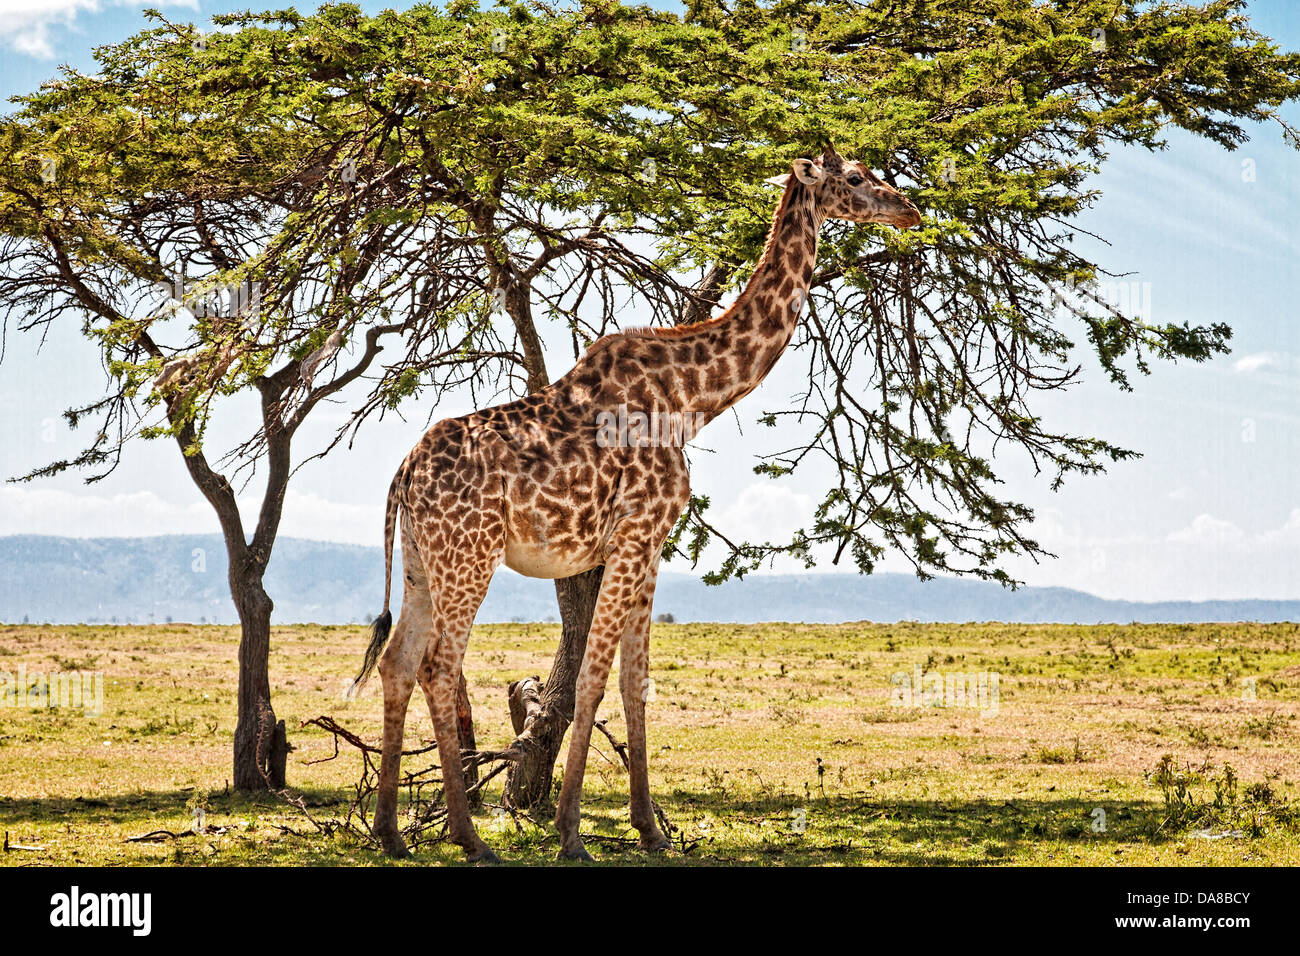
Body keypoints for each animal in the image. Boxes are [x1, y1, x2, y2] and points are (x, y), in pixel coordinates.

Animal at [351, 143, 920, 868]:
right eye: (855, 178)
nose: (910, 210)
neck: (693, 399)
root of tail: (402, 476)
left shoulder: (650, 546)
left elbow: (634, 682)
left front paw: (650, 830)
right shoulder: (633, 535)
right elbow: (591, 680)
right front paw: (571, 834)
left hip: (423, 562)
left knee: (398, 662)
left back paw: (391, 833)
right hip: (469, 555)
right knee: (439, 666)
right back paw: (469, 837)